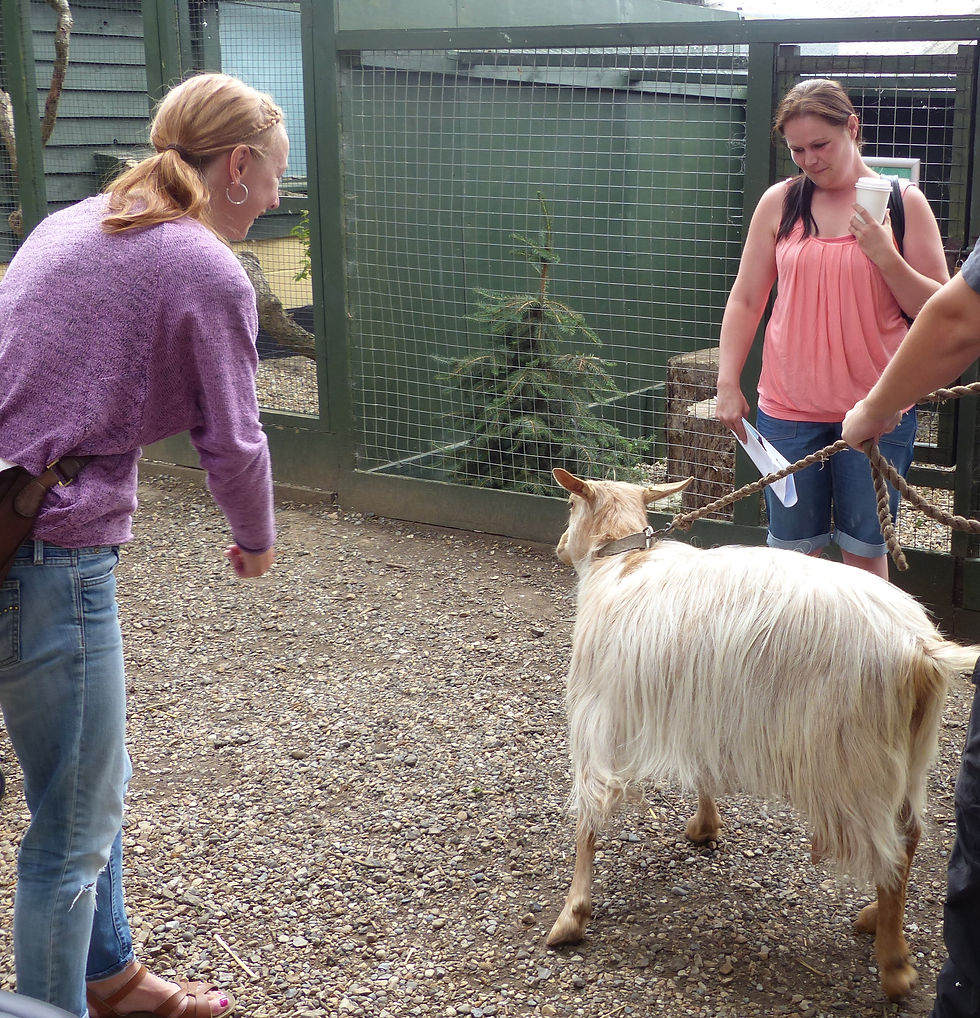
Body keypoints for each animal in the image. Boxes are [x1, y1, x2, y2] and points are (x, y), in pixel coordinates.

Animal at [547, 466, 979, 1001]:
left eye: (570, 505)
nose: (559, 546)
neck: (622, 563)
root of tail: (920, 647)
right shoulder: (697, 704)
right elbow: (702, 770)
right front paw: (705, 826)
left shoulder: (597, 715)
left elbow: (588, 817)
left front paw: (572, 915)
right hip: (911, 752)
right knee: (910, 835)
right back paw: (876, 918)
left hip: (852, 763)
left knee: (891, 850)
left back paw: (894, 963)